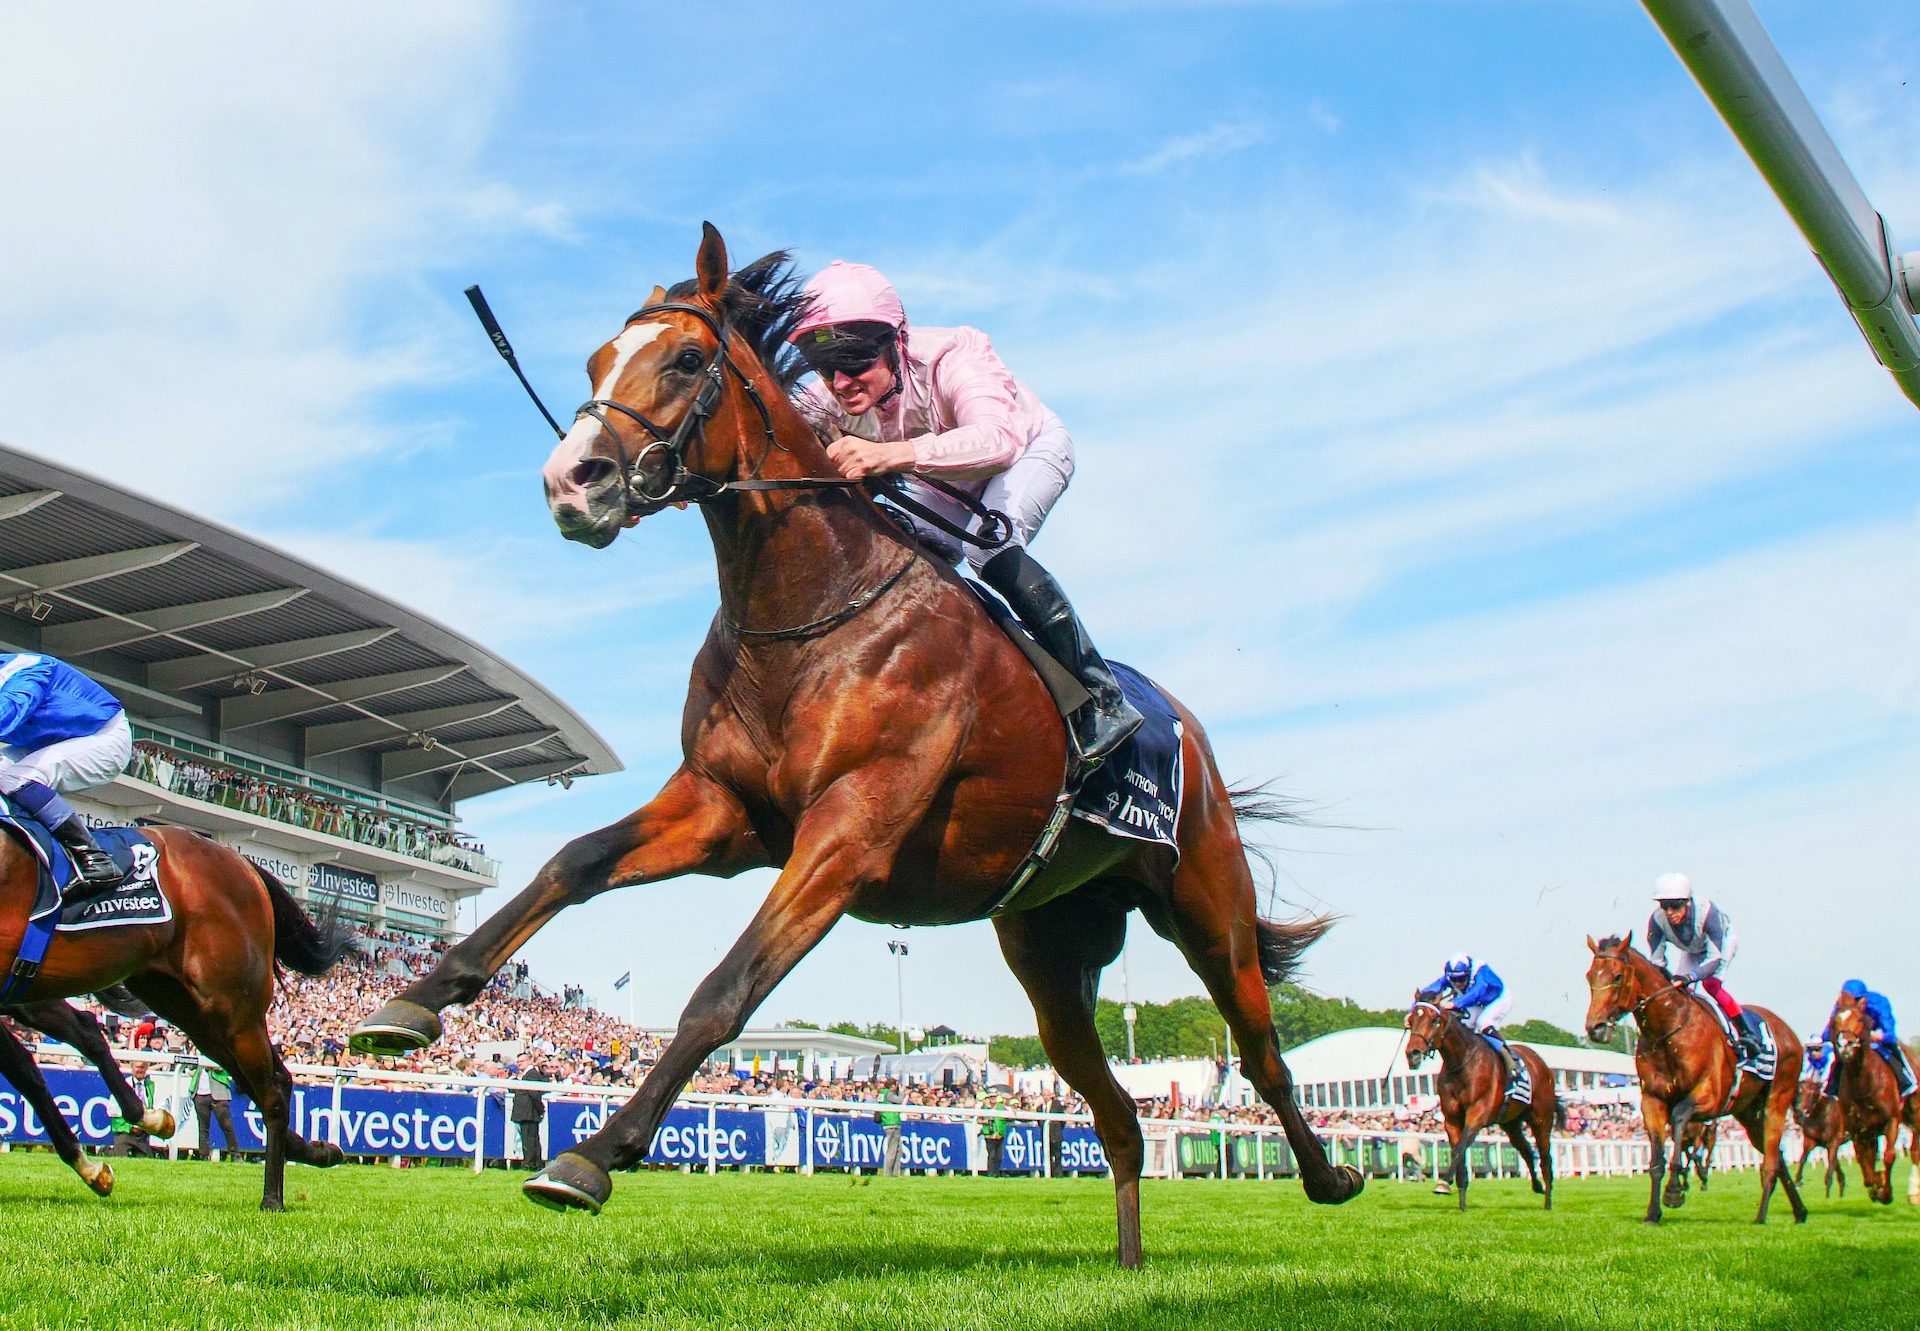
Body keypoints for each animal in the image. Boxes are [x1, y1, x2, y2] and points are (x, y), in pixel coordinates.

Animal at [0, 825, 351, 1206]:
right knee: (270, 1080)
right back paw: (317, 1152)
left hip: (233, 1007)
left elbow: (27, 1070)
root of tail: (240, 859)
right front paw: (93, 1169)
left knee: (269, 1092)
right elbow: (27, 1071)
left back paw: (273, 1196)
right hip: (186, 1008)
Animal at [345, 220, 1367, 1267]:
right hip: (1047, 949)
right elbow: (573, 861)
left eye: (686, 360)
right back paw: (1128, 1266)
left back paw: (1331, 1176)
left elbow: (724, 989)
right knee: (1117, 1112)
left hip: (1209, 908)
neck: (809, 611)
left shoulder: (847, 831)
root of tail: (1190, 739)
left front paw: (593, 1155)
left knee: (1263, 1053)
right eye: (596, 361)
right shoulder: (723, 809)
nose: (569, 480)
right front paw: (410, 1003)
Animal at [1405, 998, 1551, 1206]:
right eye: (1410, 1021)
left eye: (1434, 1020)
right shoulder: (1451, 1120)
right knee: (1526, 1151)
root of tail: (1541, 1063)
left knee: (1545, 1156)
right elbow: (1457, 1150)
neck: (1462, 1062)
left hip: (1541, 1118)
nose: (1413, 1054)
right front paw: (1459, 1198)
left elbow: (1459, 1149)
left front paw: (1443, 1182)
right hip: (1511, 1123)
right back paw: (1537, 1185)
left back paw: (1548, 1199)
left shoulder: (1477, 1114)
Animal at [1582, 929, 1804, 1221]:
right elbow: (1657, 1158)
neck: (1668, 1030)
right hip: (1749, 1112)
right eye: (1590, 976)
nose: (1595, 1028)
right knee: (1775, 1156)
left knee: (1769, 1159)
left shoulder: (1710, 1096)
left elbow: (1679, 1117)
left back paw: (1761, 1216)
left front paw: (1674, 1190)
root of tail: (1790, 1033)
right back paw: (1800, 1211)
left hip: (1776, 1101)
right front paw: (1653, 1213)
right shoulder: (1652, 1100)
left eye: (1617, 976)